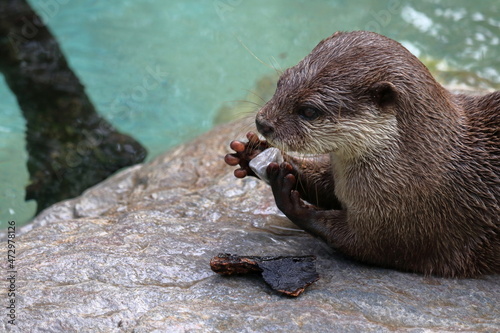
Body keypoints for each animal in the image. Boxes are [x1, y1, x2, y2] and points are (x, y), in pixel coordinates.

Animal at [227, 31, 500, 276]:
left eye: (309, 111)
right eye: (281, 81)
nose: (262, 122)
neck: (417, 164)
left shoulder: (407, 221)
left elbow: (364, 244)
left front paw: (288, 197)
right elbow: (322, 186)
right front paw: (253, 153)